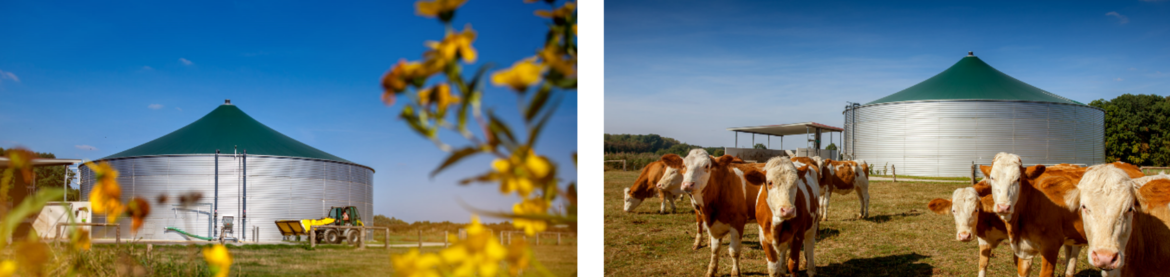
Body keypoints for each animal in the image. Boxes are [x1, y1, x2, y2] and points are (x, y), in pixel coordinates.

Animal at [678, 149, 767, 277]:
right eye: (683, 165)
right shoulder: (713, 223)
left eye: (706, 166)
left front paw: (735, 272)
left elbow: (734, 251)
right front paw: (711, 270)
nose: (687, 185)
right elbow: (715, 249)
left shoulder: (737, 222)